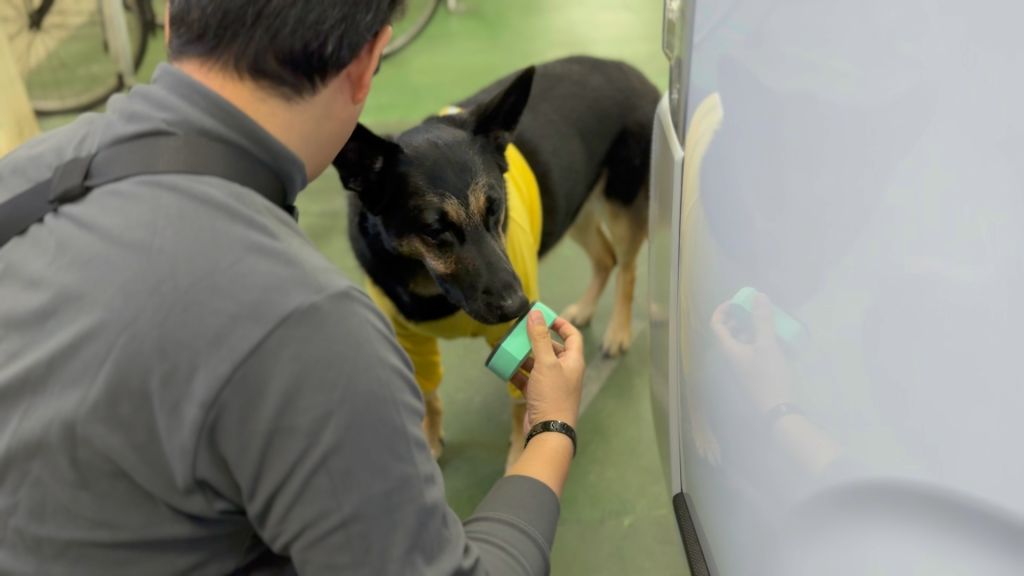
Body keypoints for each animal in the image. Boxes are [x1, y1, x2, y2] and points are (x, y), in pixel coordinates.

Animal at [333, 56, 660, 468]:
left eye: (496, 208)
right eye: (435, 230)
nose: (519, 306)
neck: (429, 286)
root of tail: (631, 70)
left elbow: (524, 404)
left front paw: (521, 454)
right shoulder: (410, 339)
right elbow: (428, 394)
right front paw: (430, 438)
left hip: (620, 208)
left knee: (627, 269)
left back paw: (618, 331)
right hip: (575, 208)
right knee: (605, 257)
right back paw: (585, 309)